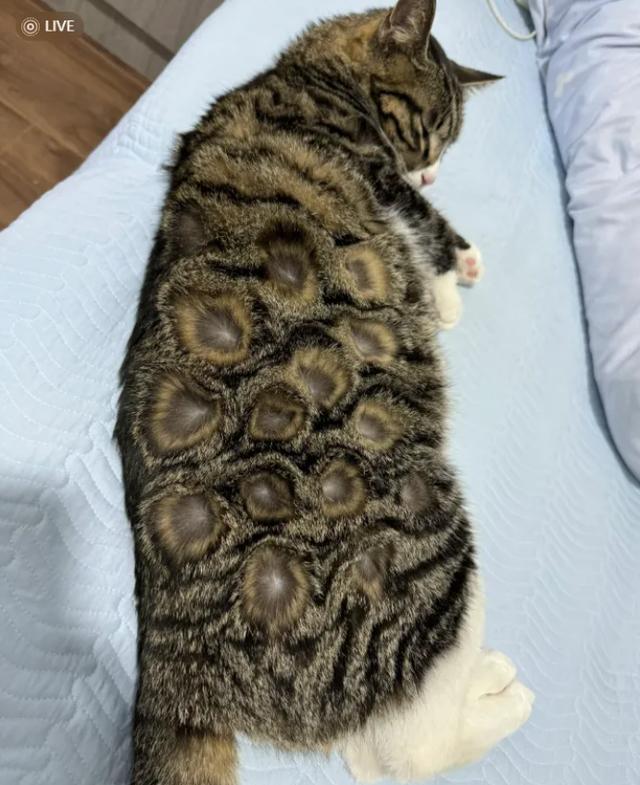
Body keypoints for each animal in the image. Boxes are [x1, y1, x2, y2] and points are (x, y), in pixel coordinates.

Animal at [115, 1, 534, 783]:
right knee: (411, 745)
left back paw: (487, 676)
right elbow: (423, 230)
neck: (303, 74)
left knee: (372, 745)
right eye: (430, 131)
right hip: (429, 546)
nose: (433, 171)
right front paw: (455, 277)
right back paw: (507, 693)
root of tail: (171, 657)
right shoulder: (377, 173)